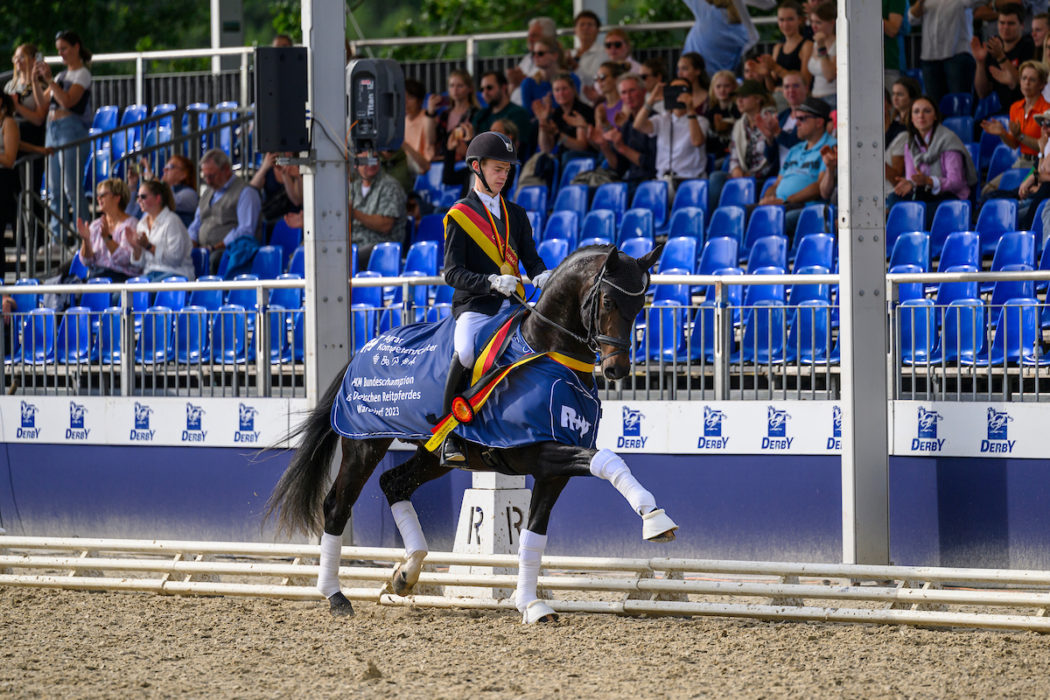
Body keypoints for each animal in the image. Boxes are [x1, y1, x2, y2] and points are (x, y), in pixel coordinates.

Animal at [268, 245, 680, 625]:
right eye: (608, 300)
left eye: (640, 305)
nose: (617, 369)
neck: (548, 353)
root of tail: (362, 350)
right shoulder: (539, 450)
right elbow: (608, 460)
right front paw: (655, 520)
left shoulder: (553, 470)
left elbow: (532, 536)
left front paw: (530, 604)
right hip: (364, 445)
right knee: (337, 505)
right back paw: (336, 596)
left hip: (433, 457)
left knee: (394, 484)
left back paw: (406, 573)